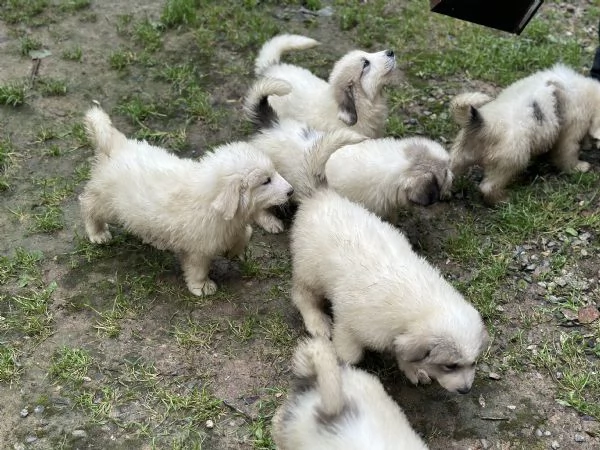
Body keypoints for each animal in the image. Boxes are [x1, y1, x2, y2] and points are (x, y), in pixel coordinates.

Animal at [79, 105, 296, 296]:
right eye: (266, 181)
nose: (291, 191)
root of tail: (117, 146)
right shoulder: (198, 249)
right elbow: (198, 269)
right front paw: (202, 287)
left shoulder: (231, 226)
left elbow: (246, 233)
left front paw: (234, 251)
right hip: (107, 200)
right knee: (88, 204)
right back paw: (97, 233)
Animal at [288, 190, 490, 394]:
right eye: (450, 366)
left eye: (473, 363)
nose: (465, 390)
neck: (421, 304)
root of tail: (319, 196)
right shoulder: (348, 325)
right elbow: (351, 354)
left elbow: (403, 352)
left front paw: (414, 370)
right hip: (310, 273)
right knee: (302, 295)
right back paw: (316, 321)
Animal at [450, 62, 596, 205]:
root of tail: (483, 123)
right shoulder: (571, 133)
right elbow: (568, 153)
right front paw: (579, 167)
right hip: (512, 159)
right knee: (488, 186)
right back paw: (504, 199)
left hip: (461, 154)